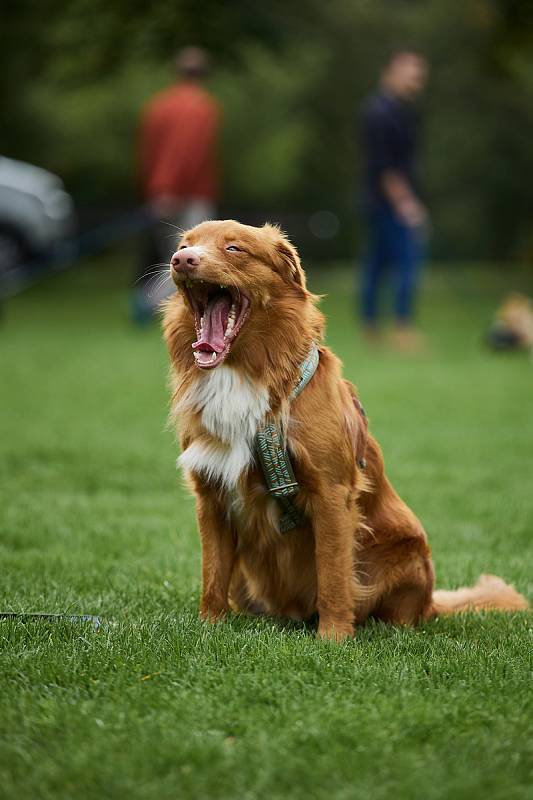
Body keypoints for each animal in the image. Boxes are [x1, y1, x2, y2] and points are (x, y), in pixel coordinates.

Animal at [163, 217, 528, 636]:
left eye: (234, 248)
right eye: (184, 245)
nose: (181, 260)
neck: (249, 375)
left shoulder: (332, 492)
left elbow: (333, 573)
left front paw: (334, 638)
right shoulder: (210, 492)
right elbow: (212, 572)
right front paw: (209, 626)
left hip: (406, 551)